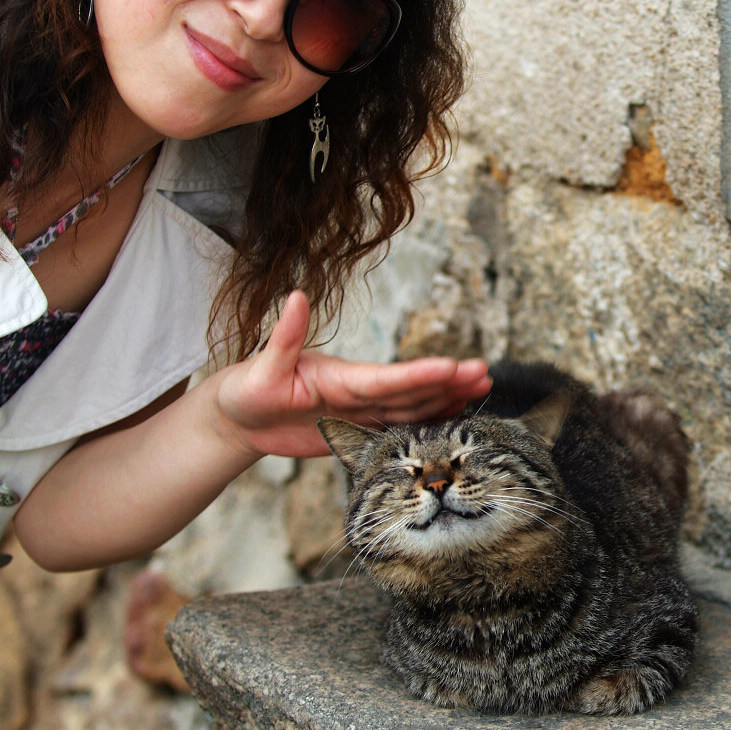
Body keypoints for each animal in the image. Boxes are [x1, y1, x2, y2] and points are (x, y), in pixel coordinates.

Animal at [318, 358, 696, 712]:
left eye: (470, 452)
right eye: (402, 464)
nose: (436, 482)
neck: (482, 607)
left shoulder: (668, 620)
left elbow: (620, 685)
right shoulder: (409, 663)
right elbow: (439, 683)